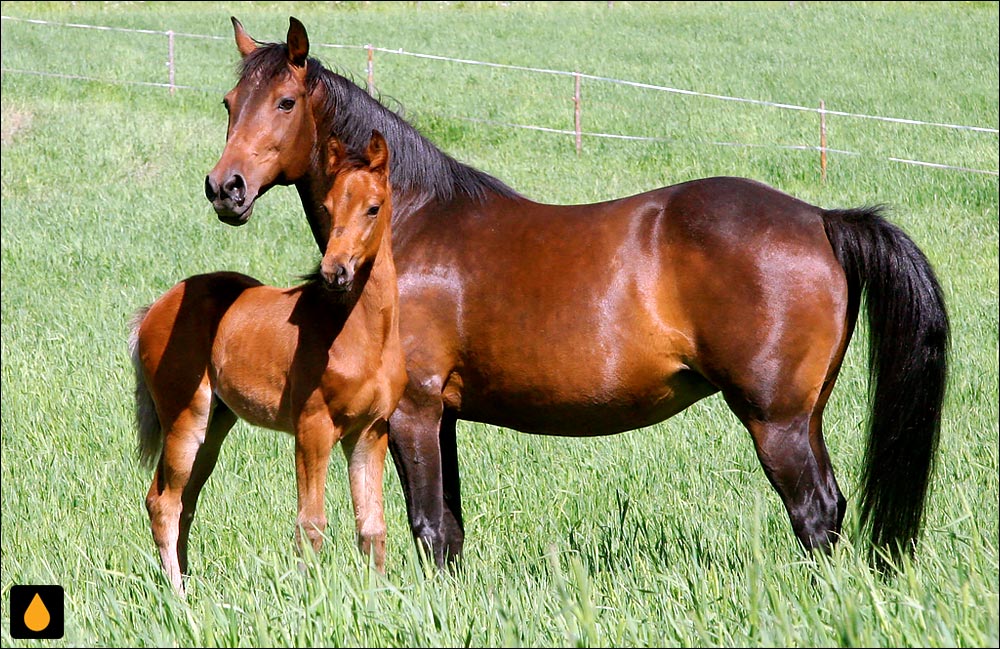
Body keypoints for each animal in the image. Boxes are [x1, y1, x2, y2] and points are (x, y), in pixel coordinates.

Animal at [134, 132, 406, 592]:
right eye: (326, 208)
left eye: (373, 207)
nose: (335, 271)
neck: (361, 332)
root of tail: (156, 307)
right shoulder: (313, 428)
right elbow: (311, 523)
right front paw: (308, 598)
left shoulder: (370, 431)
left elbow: (372, 527)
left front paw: (378, 598)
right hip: (186, 419)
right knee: (163, 503)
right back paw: (179, 596)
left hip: (216, 426)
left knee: (185, 501)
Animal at [201, 16, 944, 568]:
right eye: (230, 105)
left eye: (286, 102)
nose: (224, 188)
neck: (407, 225)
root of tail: (822, 219)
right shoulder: (442, 416)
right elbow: (451, 530)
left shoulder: (412, 410)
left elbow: (429, 527)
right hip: (802, 417)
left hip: (777, 422)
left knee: (815, 513)